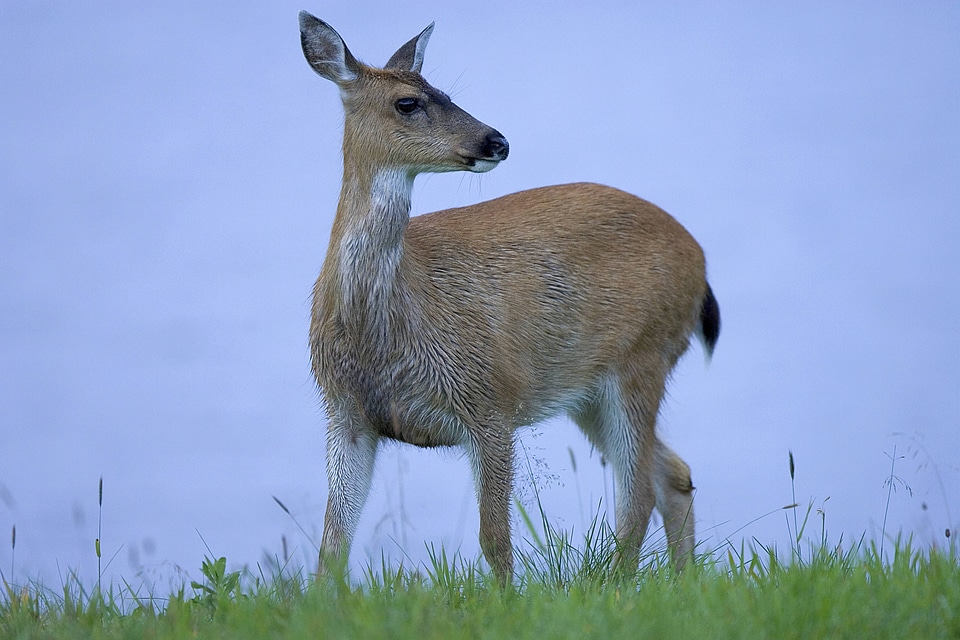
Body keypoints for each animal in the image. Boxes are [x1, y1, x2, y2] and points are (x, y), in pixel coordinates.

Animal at [300, 12, 720, 584]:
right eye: (408, 102)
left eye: (446, 92)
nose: (495, 140)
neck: (388, 327)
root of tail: (699, 260)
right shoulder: (345, 412)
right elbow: (332, 544)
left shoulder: (490, 398)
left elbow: (494, 539)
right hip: (588, 390)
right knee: (671, 475)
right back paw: (679, 584)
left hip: (642, 357)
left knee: (636, 497)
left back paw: (619, 589)